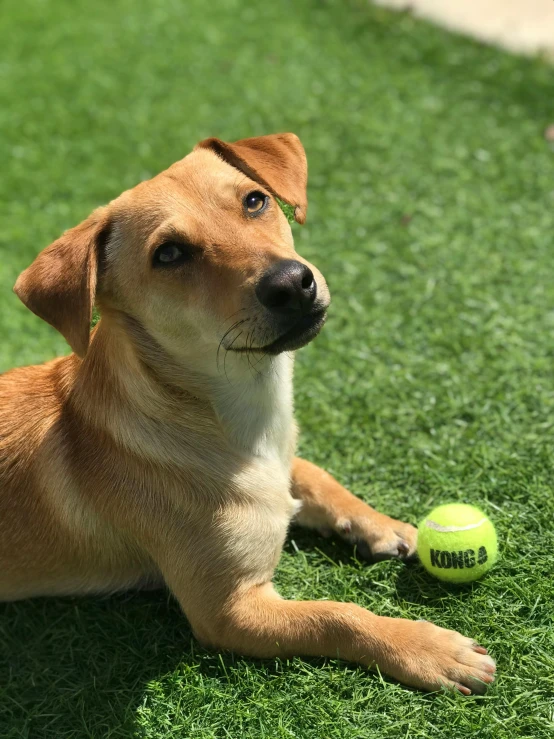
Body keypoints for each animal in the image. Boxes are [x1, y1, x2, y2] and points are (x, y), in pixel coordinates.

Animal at [0, 136, 492, 696]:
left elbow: (317, 476)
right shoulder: (229, 611)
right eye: (168, 253)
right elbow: (337, 615)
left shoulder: (285, 465)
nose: (292, 284)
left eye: (255, 201)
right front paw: (427, 648)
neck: (246, 420)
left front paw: (381, 524)